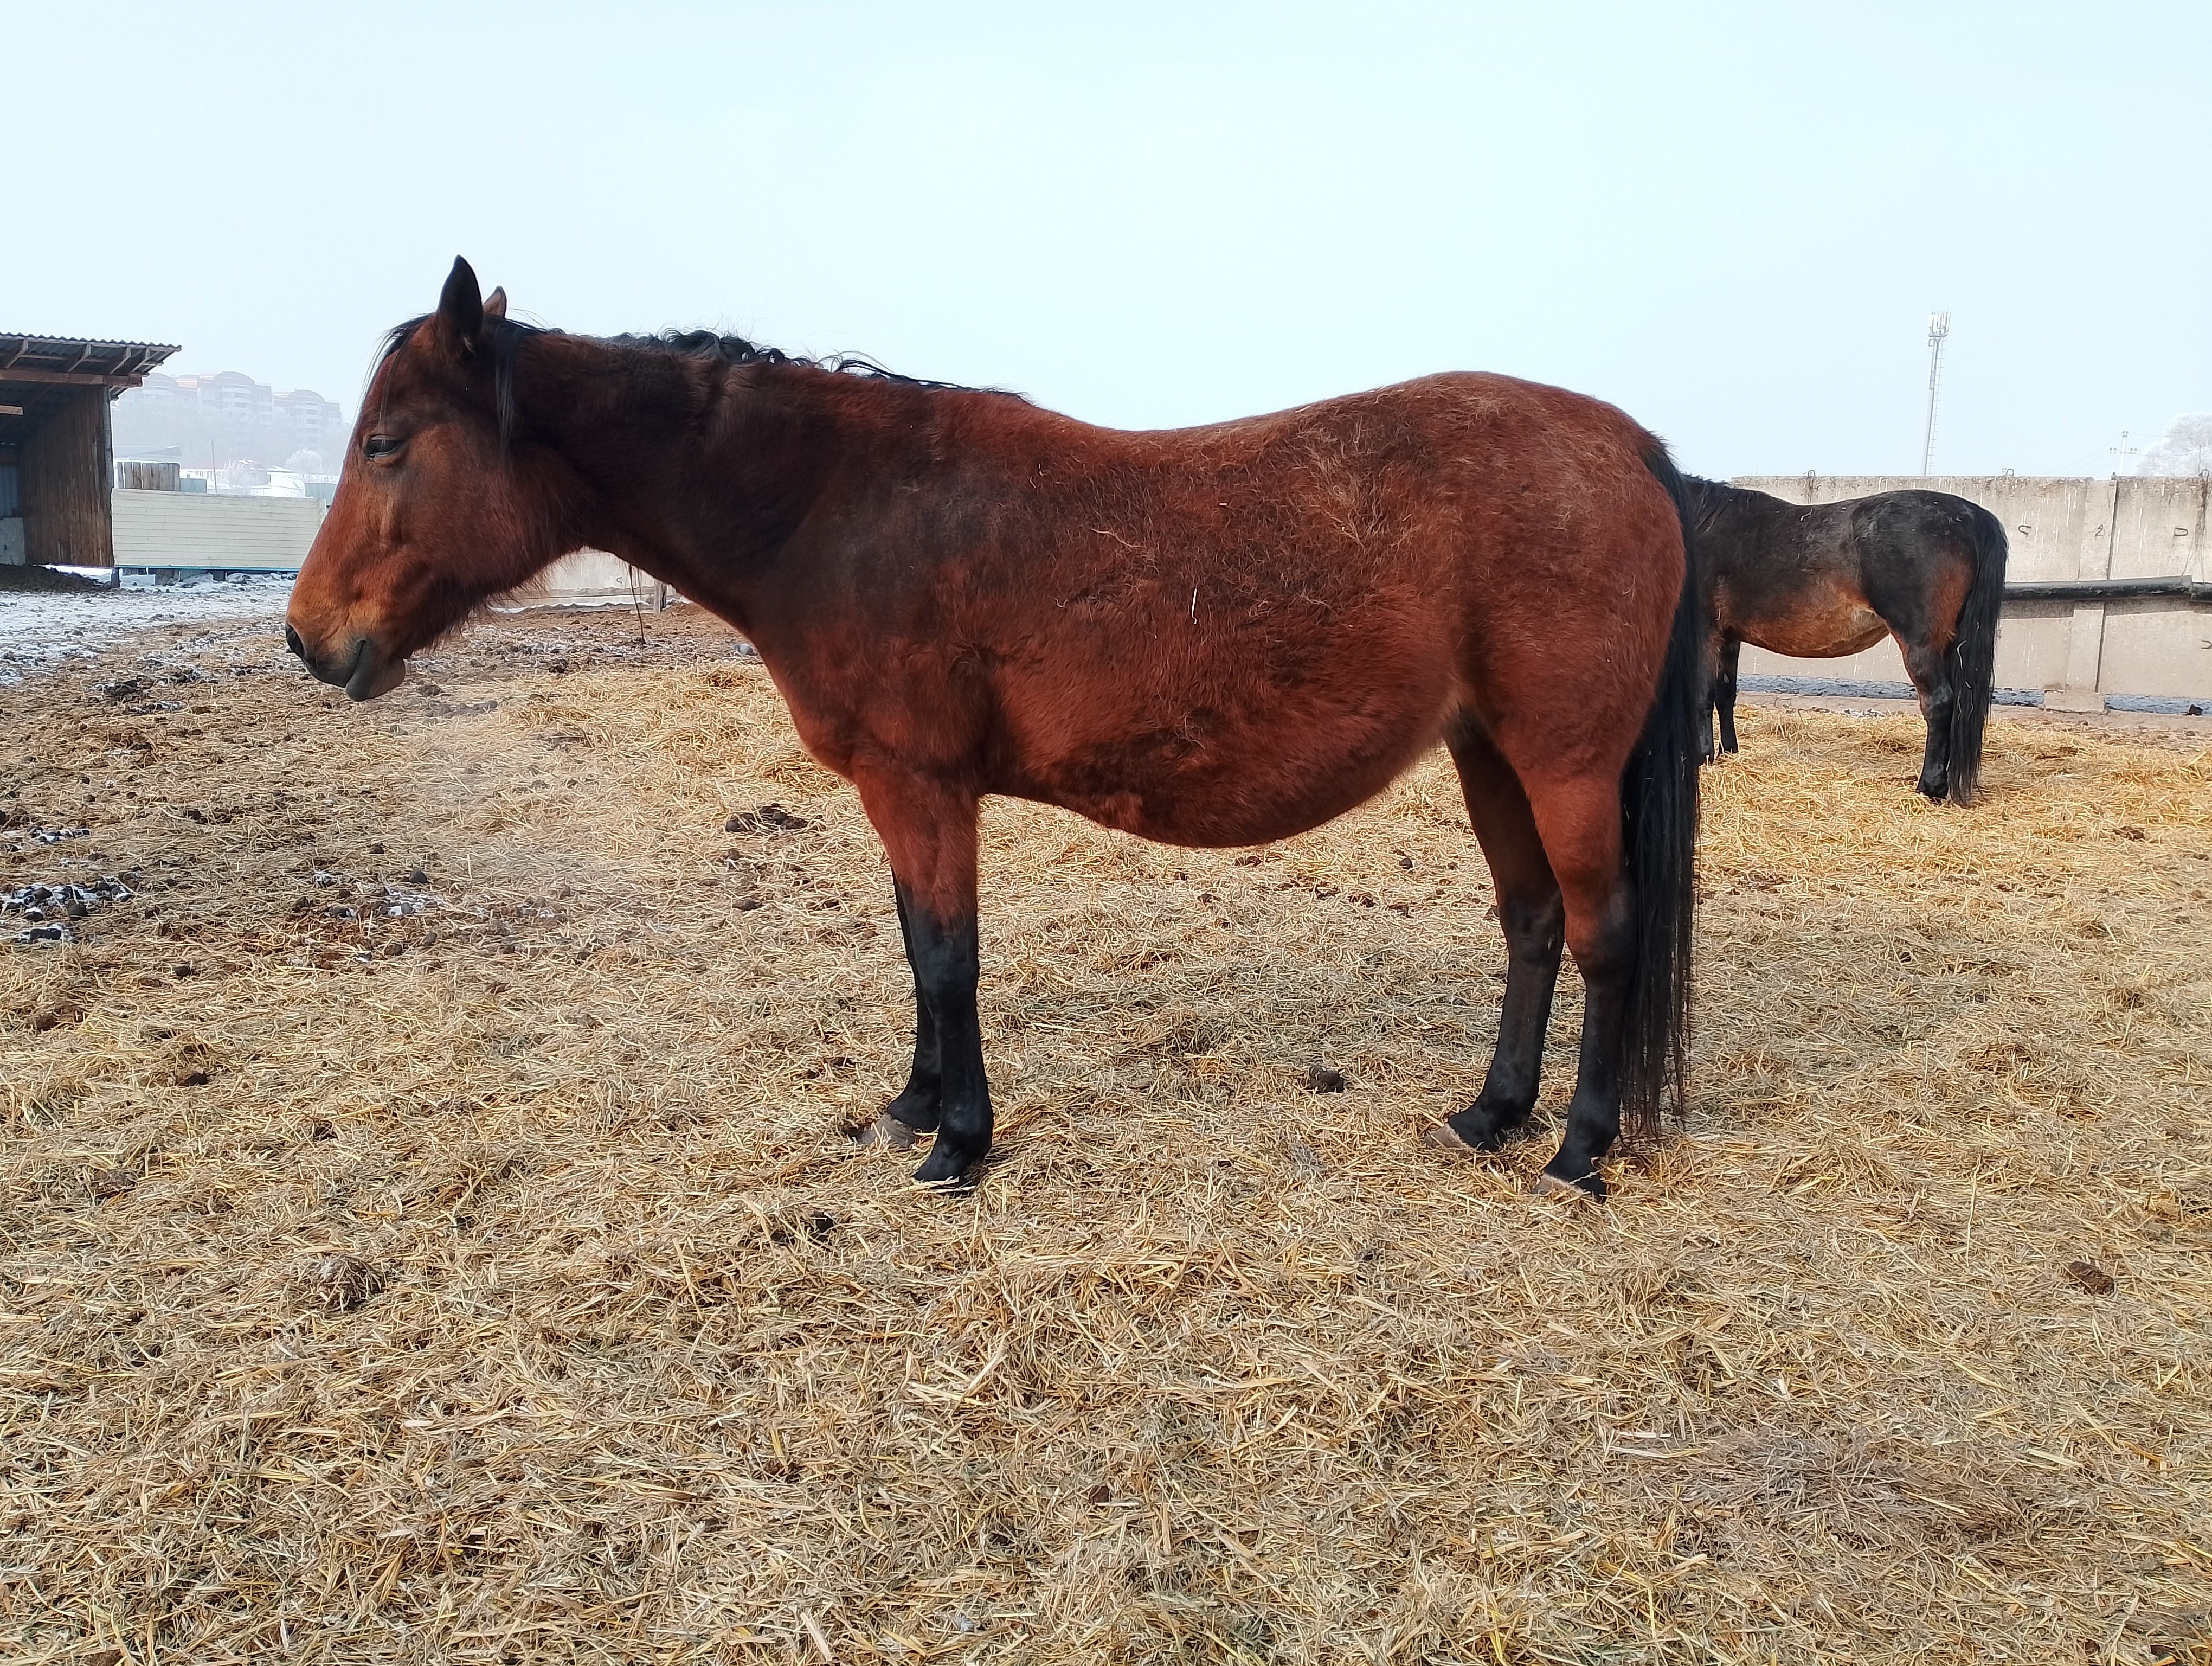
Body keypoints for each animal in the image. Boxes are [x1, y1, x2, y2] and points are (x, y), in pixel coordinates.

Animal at [286, 258, 1703, 1199]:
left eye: (389, 442)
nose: (309, 638)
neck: (833, 510)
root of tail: (1629, 445)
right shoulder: (896, 791)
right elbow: (918, 948)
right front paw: (913, 1106)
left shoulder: (921, 783)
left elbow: (948, 957)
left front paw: (960, 1140)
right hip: (1487, 754)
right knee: (1531, 926)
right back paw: (1491, 1114)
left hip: (1562, 760)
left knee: (1601, 934)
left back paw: (1579, 1147)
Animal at [1683, 477, 2008, 804]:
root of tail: (1970, 516)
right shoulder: (1728, 637)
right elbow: (1725, 695)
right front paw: (1729, 751)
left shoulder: (1705, 633)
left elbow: (1702, 696)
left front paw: (1702, 756)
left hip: (1921, 644)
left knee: (1939, 703)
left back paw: (1929, 786)